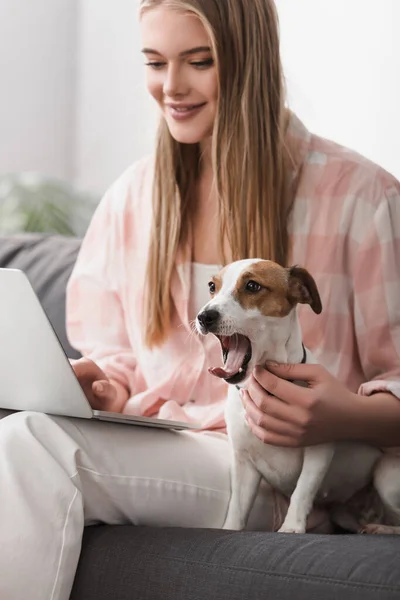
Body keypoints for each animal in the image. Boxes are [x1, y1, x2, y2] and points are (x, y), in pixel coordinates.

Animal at [195, 260, 398, 532]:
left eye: (252, 286)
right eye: (212, 286)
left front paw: (292, 526)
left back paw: (382, 528)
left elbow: (303, 490)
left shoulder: (319, 450)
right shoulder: (244, 464)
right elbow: (237, 508)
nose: (204, 316)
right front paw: (231, 528)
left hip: (387, 474)